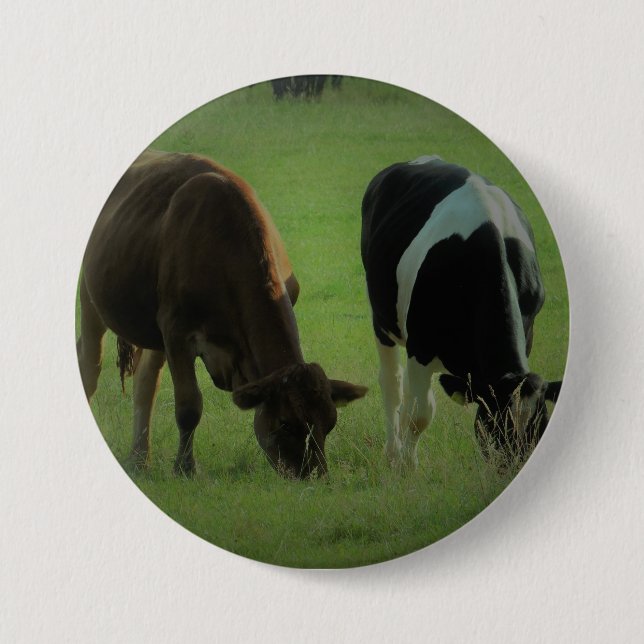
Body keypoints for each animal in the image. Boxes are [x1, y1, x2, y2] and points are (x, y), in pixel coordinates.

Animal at [77, 149, 367, 479]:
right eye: (285, 423)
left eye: (329, 424)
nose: (314, 476)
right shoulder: (176, 331)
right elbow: (189, 406)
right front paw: (185, 468)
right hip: (91, 297)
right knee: (90, 365)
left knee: (145, 382)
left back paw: (139, 459)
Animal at [360, 155, 562, 469]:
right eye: (496, 425)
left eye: (540, 426)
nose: (514, 467)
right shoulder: (421, 346)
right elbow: (420, 414)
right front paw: (407, 467)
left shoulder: (528, 330)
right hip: (383, 320)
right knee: (393, 385)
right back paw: (393, 452)